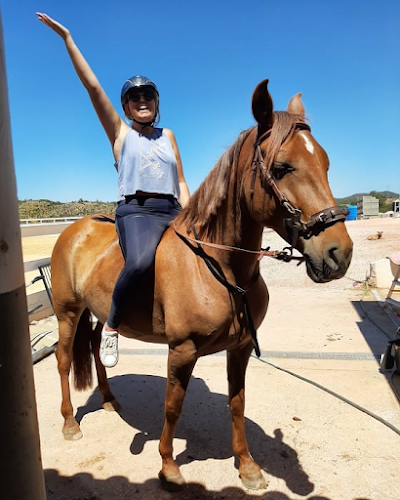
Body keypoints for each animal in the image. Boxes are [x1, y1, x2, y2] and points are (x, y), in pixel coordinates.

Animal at [50, 80, 354, 490]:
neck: (219, 266)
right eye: (282, 167)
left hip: (98, 313)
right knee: (64, 359)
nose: (339, 254)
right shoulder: (182, 350)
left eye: (324, 163)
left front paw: (247, 465)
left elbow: (237, 403)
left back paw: (110, 399)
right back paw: (69, 423)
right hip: (67, 312)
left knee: (98, 348)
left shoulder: (241, 347)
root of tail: (75, 229)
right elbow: (172, 406)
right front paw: (168, 467)